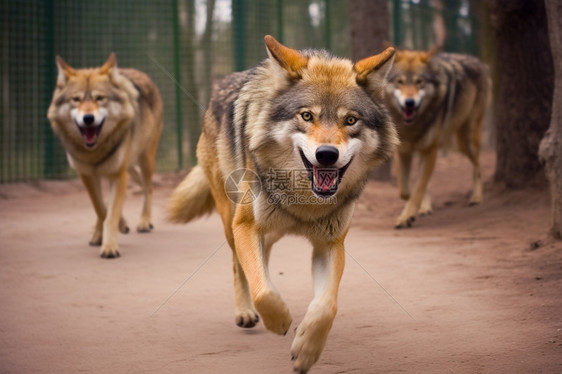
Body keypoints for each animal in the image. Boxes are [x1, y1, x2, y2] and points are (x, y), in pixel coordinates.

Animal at [46, 53, 162, 258]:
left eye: (99, 98)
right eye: (76, 99)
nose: (88, 118)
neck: (94, 151)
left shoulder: (118, 175)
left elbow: (110, 212)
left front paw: (110, 247)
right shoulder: (88, 175)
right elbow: (101, 208)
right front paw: (115, 228)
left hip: (145, 157)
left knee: (148, 187)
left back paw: (144, 222)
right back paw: (98, 234)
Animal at [167, 35, 398, 374]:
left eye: (350, 120)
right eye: (307, 116)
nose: (326, 154)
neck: (303, 200)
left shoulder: (330, 244)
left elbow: (327, 305)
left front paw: (306, 350)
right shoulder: (246, 226)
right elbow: (262, 289)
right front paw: (279, 320)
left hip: (267, 232)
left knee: (262, 259)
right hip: (231, 222)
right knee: (239, 266)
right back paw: (247, 313)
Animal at [382, 46, 488, 228]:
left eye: (419, 82)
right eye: (400, 82)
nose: (409, 103)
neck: (412, 126)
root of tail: (478, 61)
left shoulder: (431, 150)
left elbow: (418, 188)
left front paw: (407, 216)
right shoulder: (403, 151)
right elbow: (405, 189)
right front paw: (415, 209)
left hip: (464, 142)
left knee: (478, 166)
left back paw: (476, 197)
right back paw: (426, 208)